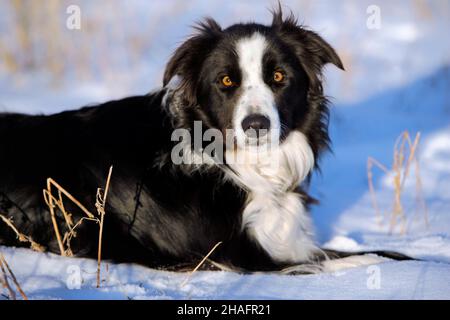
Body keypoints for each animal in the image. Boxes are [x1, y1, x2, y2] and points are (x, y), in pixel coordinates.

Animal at [0, 8, 408, 272]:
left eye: (278, 77)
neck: (228, 161)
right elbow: (343, 261)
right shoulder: (228, 256)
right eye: (226, 80)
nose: (256, 125)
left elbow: (381, 253)